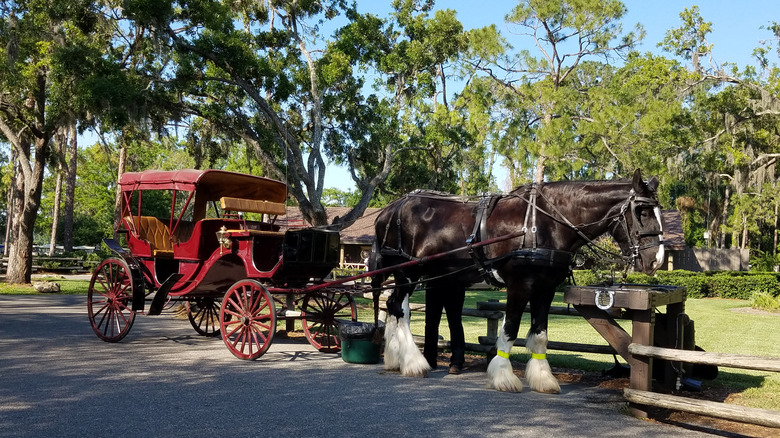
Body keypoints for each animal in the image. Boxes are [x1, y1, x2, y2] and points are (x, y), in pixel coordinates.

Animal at [370, 169, 665, 393]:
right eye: (642, 211)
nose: (657, 260)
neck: (543, 223)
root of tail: (389, 209)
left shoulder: (545, 289)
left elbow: (540, 335)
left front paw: (543, 378)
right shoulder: (520, 286)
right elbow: (510, 329)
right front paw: (503, 376)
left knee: (394, 306)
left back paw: (395, 359)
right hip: (408, 272)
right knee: (399, 309)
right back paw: (413, 362)